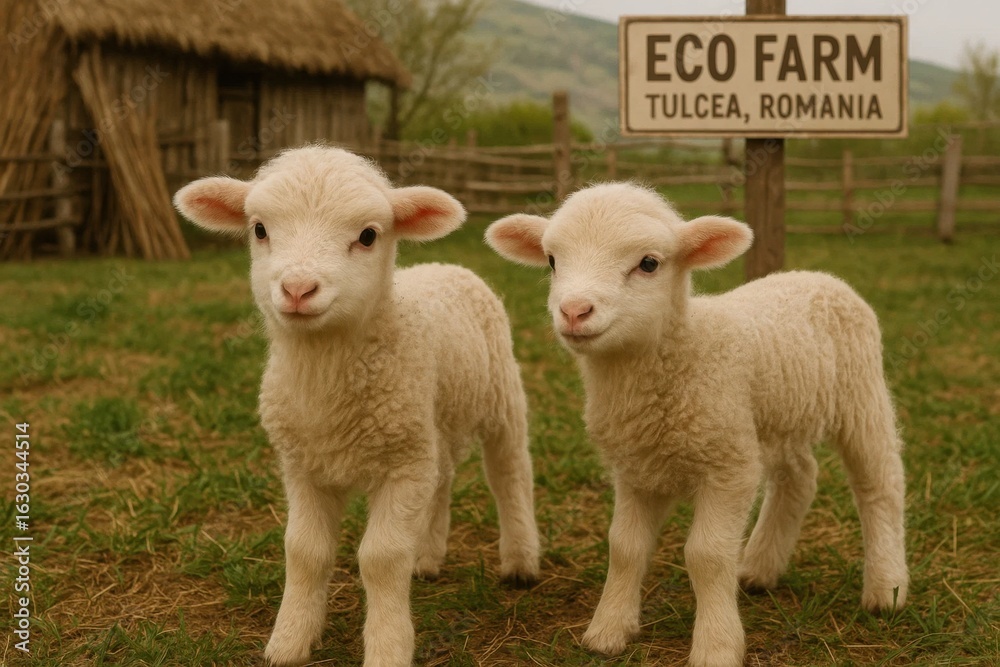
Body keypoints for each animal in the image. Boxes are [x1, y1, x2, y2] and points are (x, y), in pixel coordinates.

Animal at [173, 145, 540, 667]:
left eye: (368, 235)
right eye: (260, 229)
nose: (298, 289)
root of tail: (447, 265)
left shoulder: (401, 465)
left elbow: (381, 557)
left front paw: (388, 647)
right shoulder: (304, 464)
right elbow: (304, 550)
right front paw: (289, 641)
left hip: (500, 399)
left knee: (509, 473)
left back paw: (520, 561)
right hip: (431, 424)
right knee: (443, 477)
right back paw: (428, 558)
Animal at [485, 182, 908, 667]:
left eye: (649, 263)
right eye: (553, 260)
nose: (574, 311)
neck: (683, 352)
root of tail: (817, 275)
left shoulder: (728, 465)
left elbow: (705, 555)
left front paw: (717, 645)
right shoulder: (636, 468)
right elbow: (624, 548)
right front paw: (608, 630)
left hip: (860, 395)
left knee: (880, 484)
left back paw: (886, 588)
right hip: (775, 416)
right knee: (800, 477)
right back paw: (759, 569)